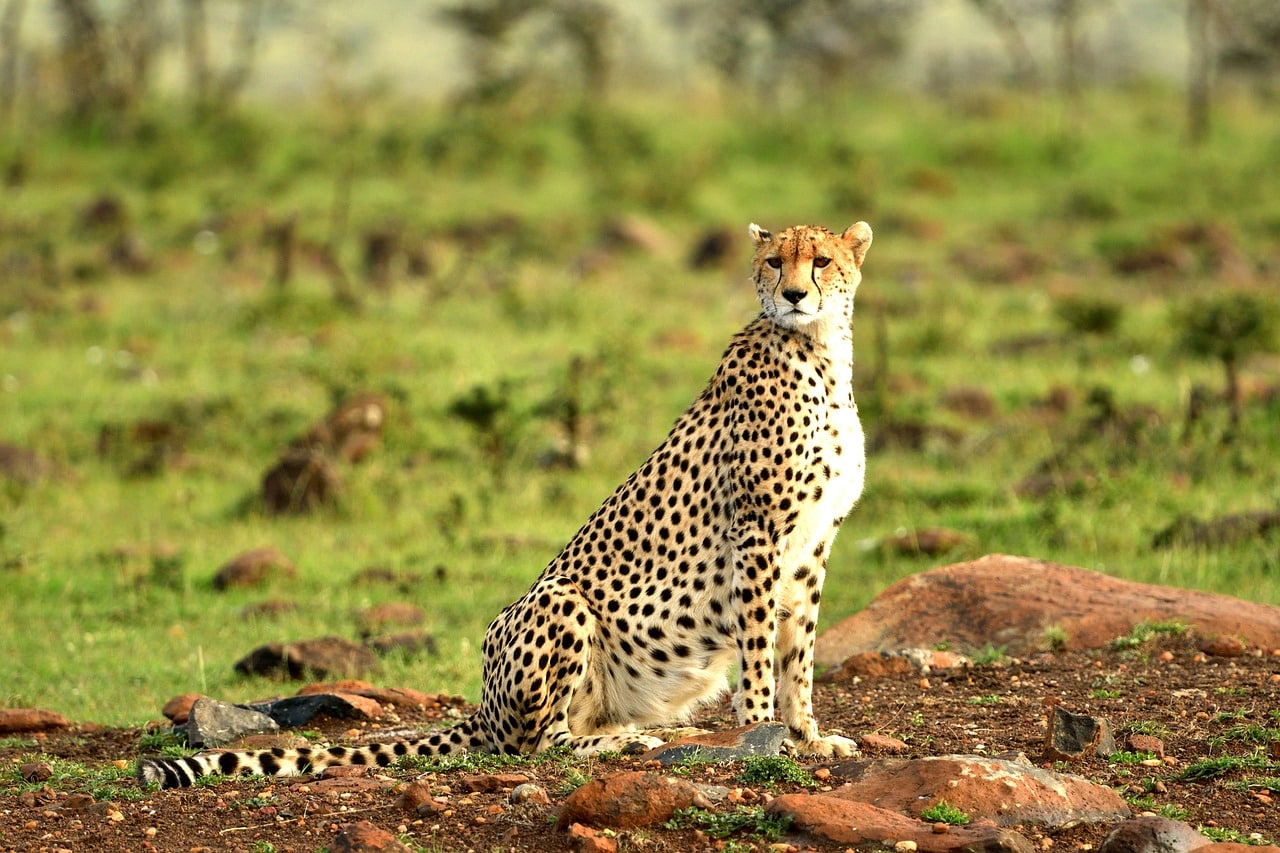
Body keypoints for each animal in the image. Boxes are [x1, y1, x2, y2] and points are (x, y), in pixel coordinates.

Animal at [137, 221, 873, 789]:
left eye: (821, 260)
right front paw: (760, 729)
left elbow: (798, 650)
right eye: (775, 261)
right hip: (560, 602)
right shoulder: (759, 533)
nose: (795, 293)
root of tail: (484, 703)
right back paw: (622, 741)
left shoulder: (812, 545)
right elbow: (760, 646)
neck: (819, 354)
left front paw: (806, 734)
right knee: (536, 742)